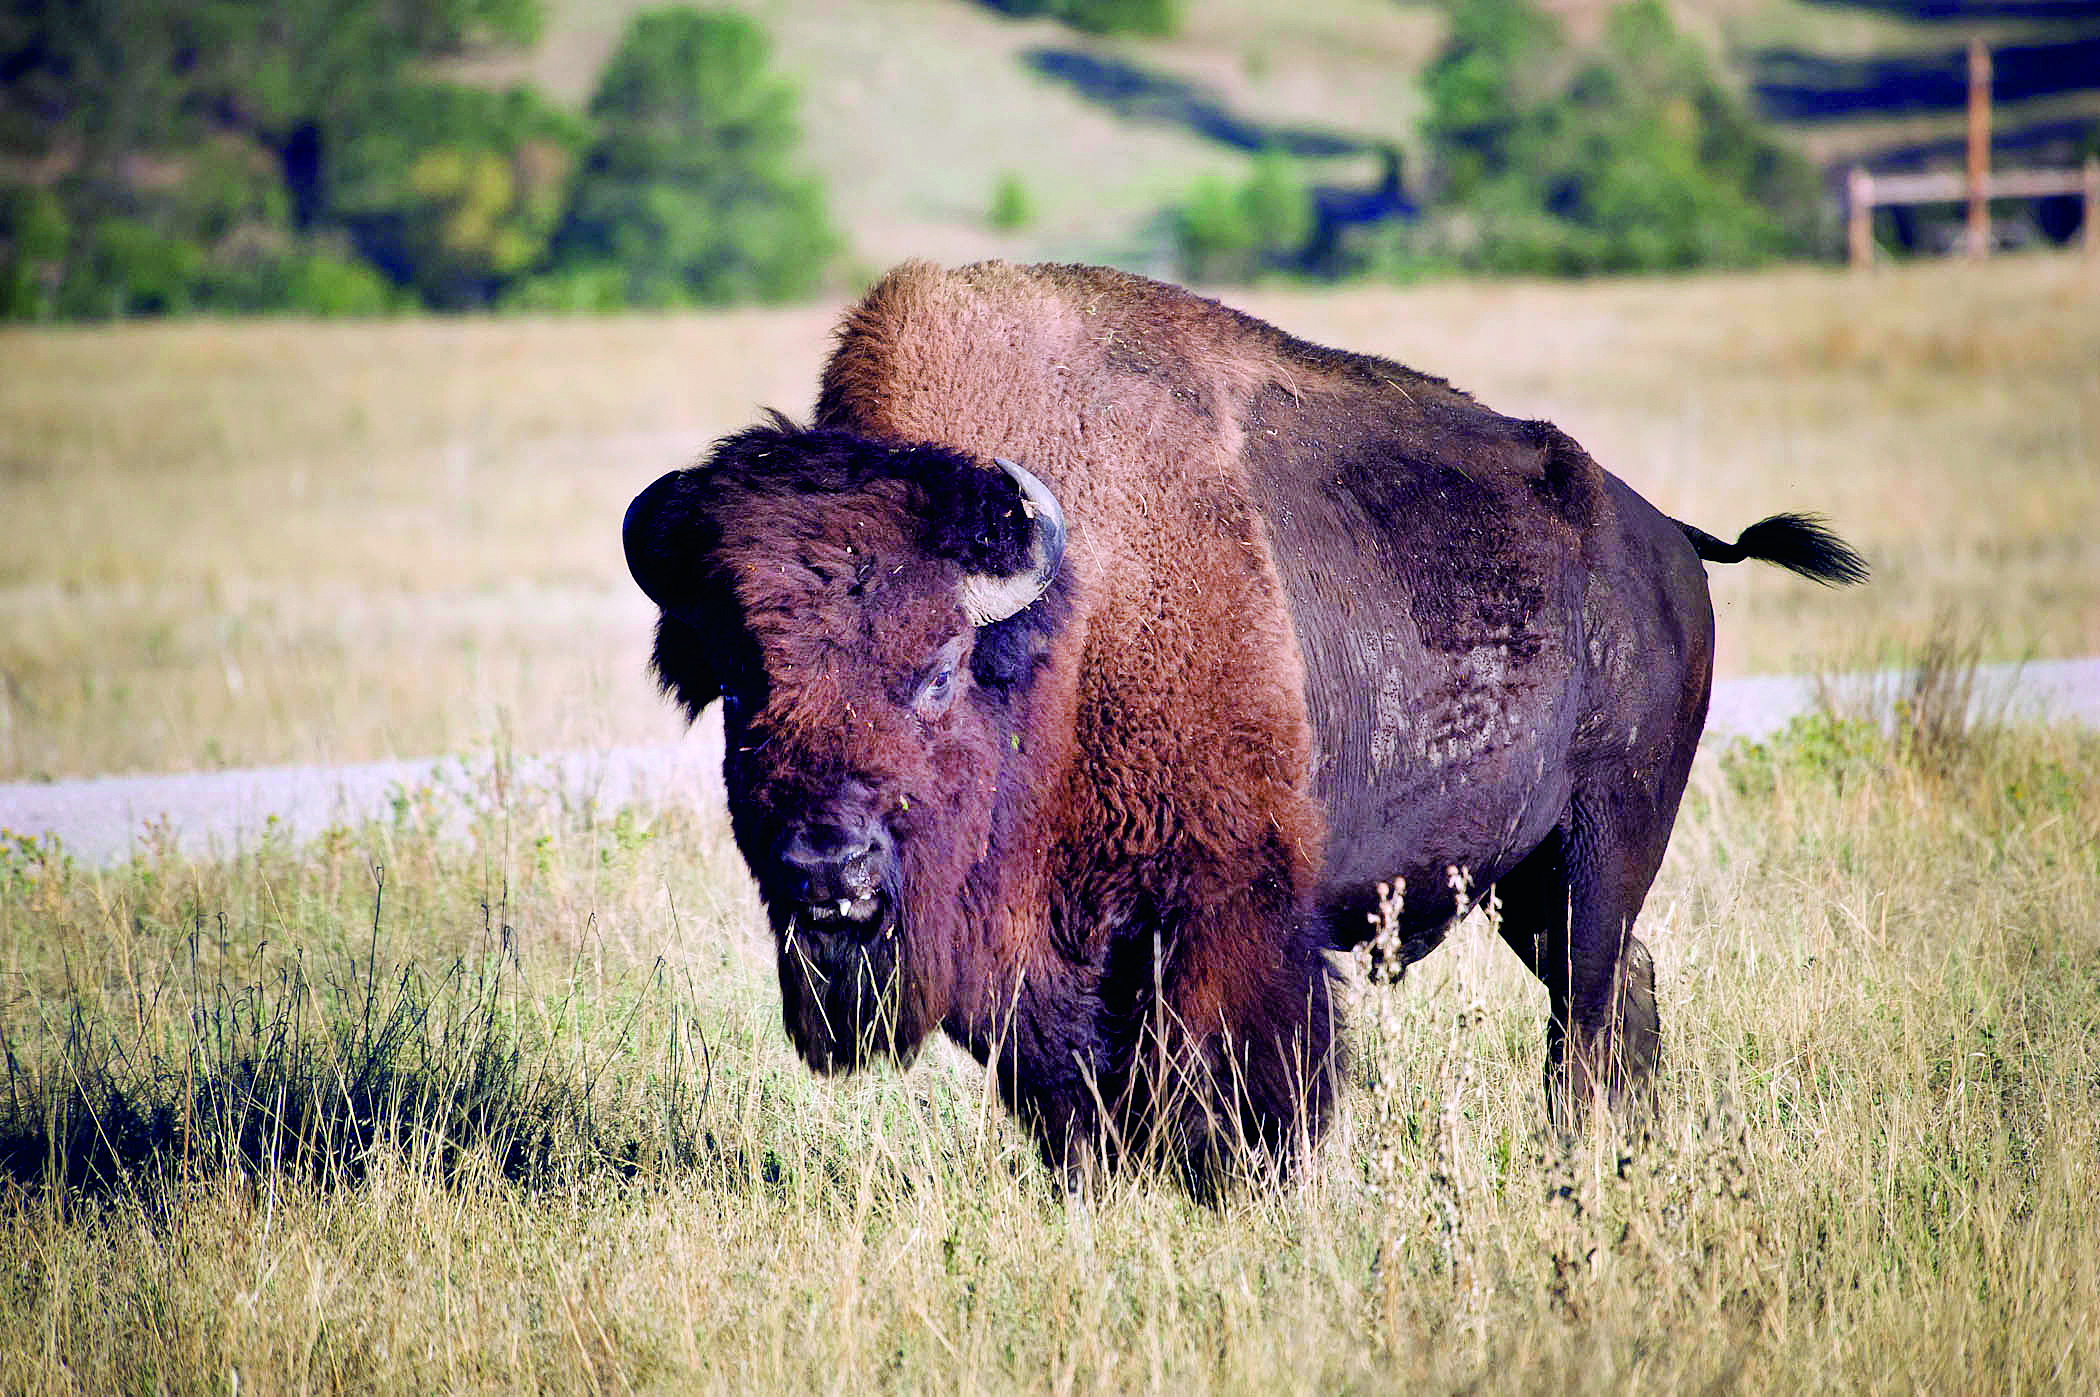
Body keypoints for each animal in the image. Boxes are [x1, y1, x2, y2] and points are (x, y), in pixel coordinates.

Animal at [623, 261, 1866, 1189]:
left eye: (937, 669)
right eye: (740, 686)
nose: (827, 871)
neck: (1068, 623)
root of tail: (1672, 543)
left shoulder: (1232, 909)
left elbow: (1256, 1081)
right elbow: (1077, 1101)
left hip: (1602, 846)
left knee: (1588, 1014)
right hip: (1524, 883)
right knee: (1623, 989)